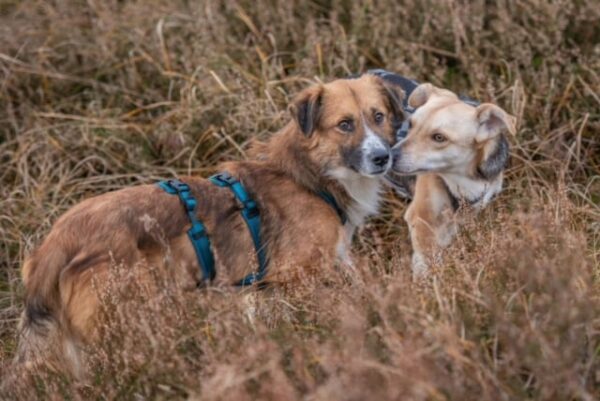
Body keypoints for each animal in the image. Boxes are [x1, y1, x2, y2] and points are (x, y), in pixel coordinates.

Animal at [16, 74, 404, 376]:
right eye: (345, 124)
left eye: (378, 116)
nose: (382, 158)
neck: (308, 176)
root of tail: (56, 241)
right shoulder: (297, 278)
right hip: (125, 322)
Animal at [390, 83, 516, 276]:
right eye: (410, 125)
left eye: (439, 137)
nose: (386, 157)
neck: (463, 178)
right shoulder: (421, 222)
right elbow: (427, 266)